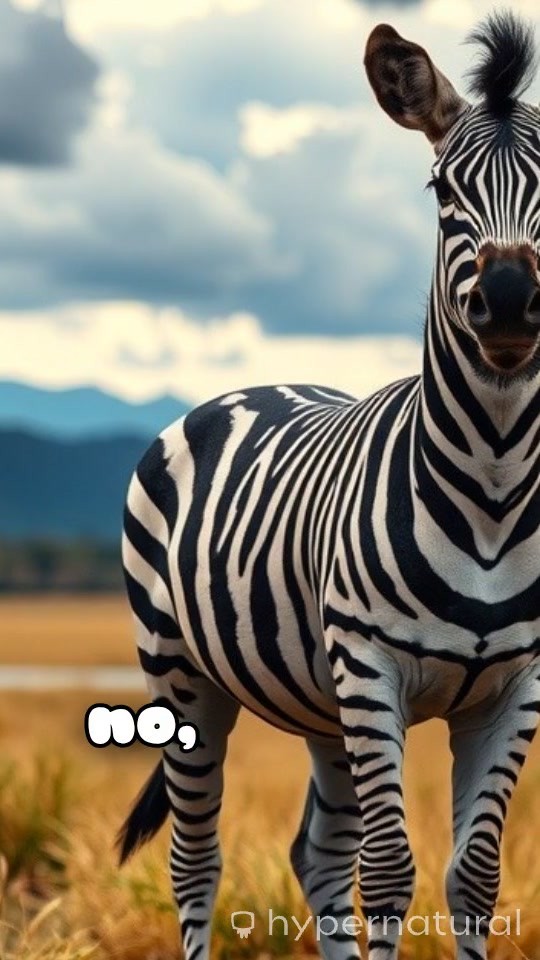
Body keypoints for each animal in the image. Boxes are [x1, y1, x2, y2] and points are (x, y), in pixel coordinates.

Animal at [118, 12, 540, 960]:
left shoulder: (516, 685)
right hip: (184, 675)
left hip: (321, 706)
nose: (507, 300)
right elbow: (386, 874)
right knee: (195, 862)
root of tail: (250, 386)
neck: (495, 490)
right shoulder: (371, 666)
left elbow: (474, 876)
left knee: (315, 855)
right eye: (440, 190)